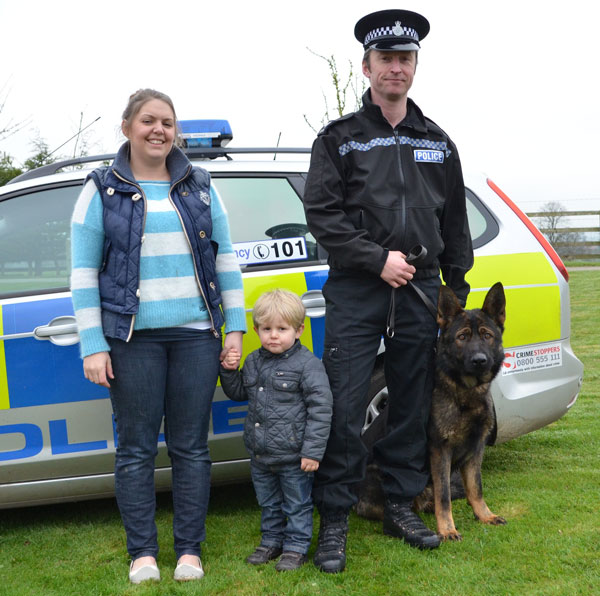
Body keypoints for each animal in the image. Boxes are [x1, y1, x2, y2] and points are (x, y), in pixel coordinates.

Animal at [356, 282, 506, 540]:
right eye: (462, 337)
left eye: (487, 336)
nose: (479, 360)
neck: (464, 392)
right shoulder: (440, 450)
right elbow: (444, 496)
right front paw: (447, 529)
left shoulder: (476, 448)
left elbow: (476, 487)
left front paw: (485, 515)